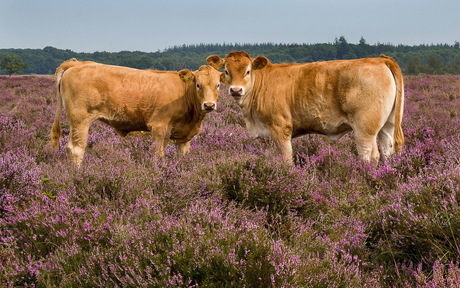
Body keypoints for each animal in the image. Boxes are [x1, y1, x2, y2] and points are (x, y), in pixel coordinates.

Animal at [49, 58, 222, 165]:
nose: (209, 105)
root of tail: (76, 63)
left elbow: (183, 156)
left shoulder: (183, 135)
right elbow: (158, 155)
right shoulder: (159, 127)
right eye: (198, 84)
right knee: (76, 150)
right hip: (79, 120)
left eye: (218, 85)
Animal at [207, 51, 404, 164]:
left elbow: (286, 160)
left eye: (248, 71)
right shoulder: (266, 135)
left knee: (369, 156)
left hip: (365, 128)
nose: (236, 89)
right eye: (226, 71)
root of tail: (379, 60)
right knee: (388, 151)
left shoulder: (280, 129)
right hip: (388, 125)